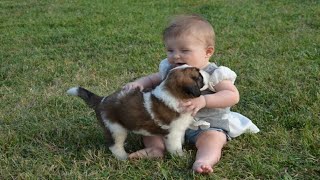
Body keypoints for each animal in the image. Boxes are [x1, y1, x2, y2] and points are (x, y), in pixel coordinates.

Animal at [66, 65, 209, 160]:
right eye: (199, 76)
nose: (206, 72)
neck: (175, 94)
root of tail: (101, 100)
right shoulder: (172, 133)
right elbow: (175, 146)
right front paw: (180, 156)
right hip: (116, 129)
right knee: (115, 146)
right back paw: (123, 157)